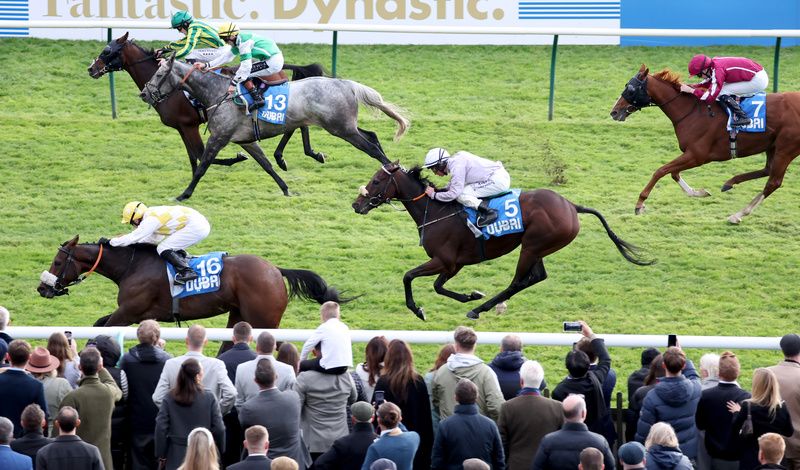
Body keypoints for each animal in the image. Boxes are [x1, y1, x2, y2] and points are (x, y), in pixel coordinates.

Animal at [37, 235, 346, 330]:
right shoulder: (133, 314)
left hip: (264, 319)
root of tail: (275, 270)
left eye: (57, 262)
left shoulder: (128, 312)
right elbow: (98, 324)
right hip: (239, 315)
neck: (132, 266)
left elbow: (102, 328)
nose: (42, 288)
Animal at [87, 31, 324, 175]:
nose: (91, 69)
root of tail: (280, 67)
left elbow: (201, 154)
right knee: (299, 124)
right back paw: (298, 155)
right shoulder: (181, 127)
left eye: (107, 51)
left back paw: (292, 156)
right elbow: (194, 156)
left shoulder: (189, 125)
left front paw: (237, 157)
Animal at [140, 57, 410, 200]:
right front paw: (286, 189)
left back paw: (391, 171)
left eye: (160, 75)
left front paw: (184, 194)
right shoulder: (246, 140)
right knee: (372, 137)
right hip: (343, 126)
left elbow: (202, 166)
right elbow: (267, 165)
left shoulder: (219, 137)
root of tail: (347, 84)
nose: (144, 93)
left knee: (371, 147)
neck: (218, 94)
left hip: (341, 128)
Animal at [350, 163, 648, 322]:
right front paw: (470, 294)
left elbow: (408, 276)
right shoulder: (454, 264)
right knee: (536, 277)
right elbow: (437, 286)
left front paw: (419, 310)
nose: (356, 204)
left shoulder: (444, 260)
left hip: (531, 246)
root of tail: (572, 206)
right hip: (539, 247)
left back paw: (479, 309)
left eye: (376, 180)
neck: (434, 211)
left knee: (518, 281)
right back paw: (481, 305)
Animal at [608, 64, 800, 224]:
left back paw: (738, 214)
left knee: (773, 182)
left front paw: (640, 204)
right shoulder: (691, 154)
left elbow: (661, 171)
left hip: (786, 148)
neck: (691, 111)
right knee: (767, 171)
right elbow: (673, 173)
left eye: (630, 88)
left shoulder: (697, 155)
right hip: (773, 146)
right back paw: (730, 182)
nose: (614, 112)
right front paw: (699, 192)